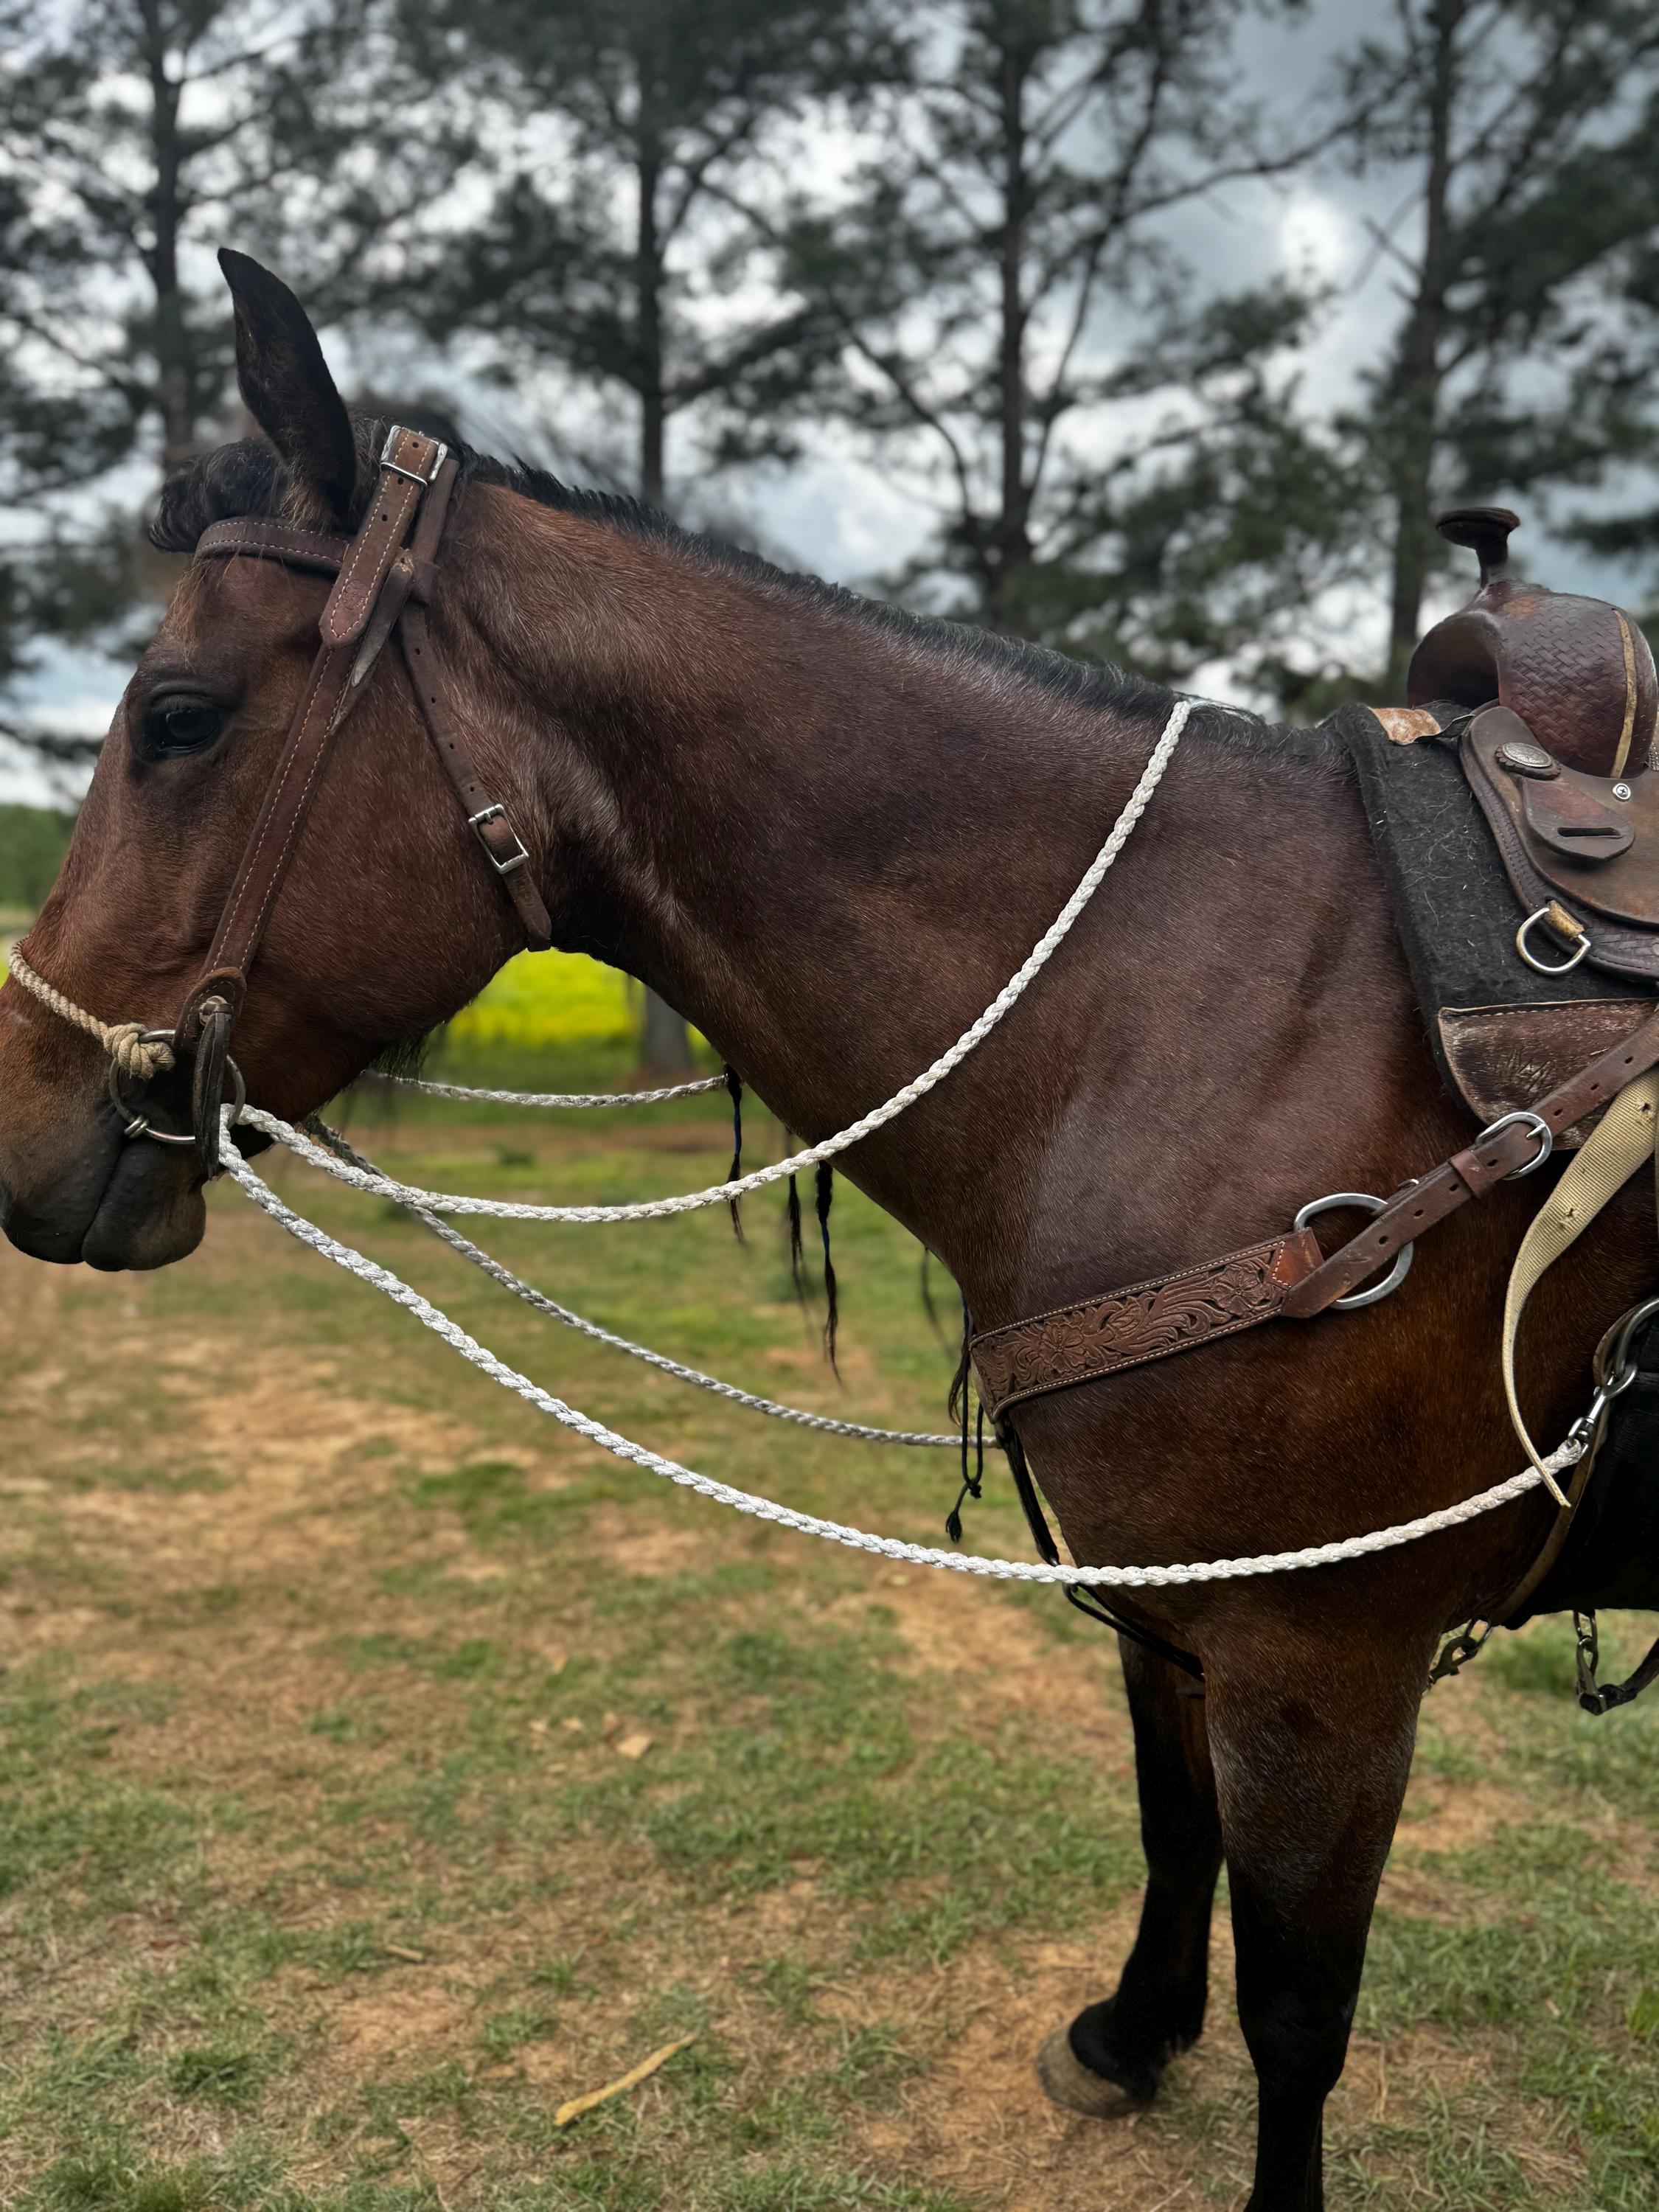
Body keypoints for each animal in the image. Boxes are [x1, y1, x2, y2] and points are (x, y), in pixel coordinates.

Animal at [1, 253, 1651, 2211]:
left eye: (177, 716)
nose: (21, 1125)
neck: (1201, 1001)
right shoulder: (1185, 1616)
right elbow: (1169, 1820)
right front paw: (1128, 2033)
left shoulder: (1321, 1663)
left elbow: (1299, 2016)